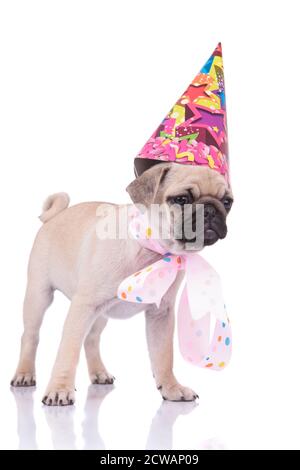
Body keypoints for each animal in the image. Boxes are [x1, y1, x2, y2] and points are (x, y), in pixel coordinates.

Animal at [11, 163, 232, 406]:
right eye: (182, 199)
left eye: (227, 202)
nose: (211, 209)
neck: (150, 248)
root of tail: (55, 216)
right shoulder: (82, 307)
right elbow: (68, 352)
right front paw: (59, 389)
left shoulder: (161, 315)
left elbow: (164, 356)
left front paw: (171, 388)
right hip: (38, 296)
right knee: (31, 336)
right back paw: (24, 374)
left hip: (99, 315)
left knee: (91, 339)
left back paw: (99, 373)